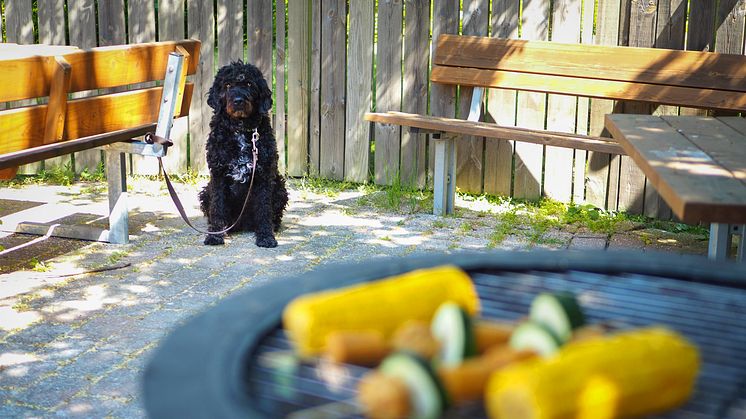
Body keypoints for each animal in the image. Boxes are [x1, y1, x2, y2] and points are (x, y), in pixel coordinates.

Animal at [198, 60, 288, 248]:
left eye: (248, 84)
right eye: (227, 85)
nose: (238, 101)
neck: (240, 129)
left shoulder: (263, 177)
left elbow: (264, 209)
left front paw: (265, 236)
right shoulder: (218, 176)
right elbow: (217, 207)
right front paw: (215, 235)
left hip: (279, 188)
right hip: (206, 191)